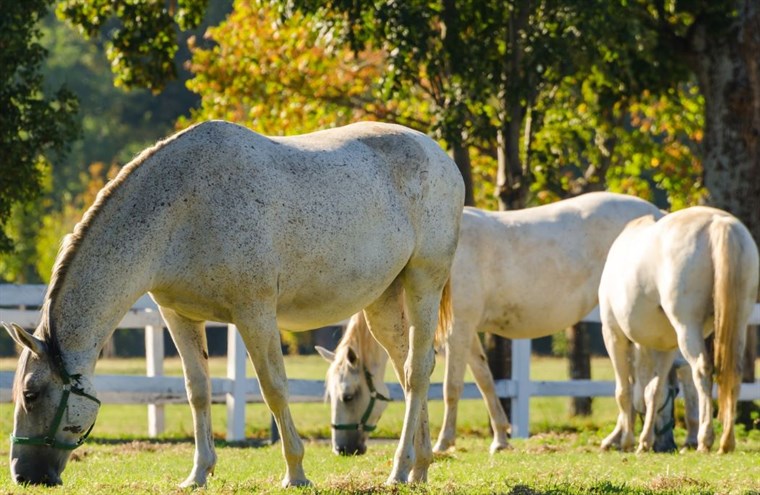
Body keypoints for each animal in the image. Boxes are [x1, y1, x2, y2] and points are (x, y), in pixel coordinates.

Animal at [2, 121, 464, 488]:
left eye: (30, 393)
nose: (24, 475)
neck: (181, 207)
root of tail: (441, 157)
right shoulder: (180, 316)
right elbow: (198, 391)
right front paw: (198, 474)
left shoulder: (254, 313)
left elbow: (274, 389)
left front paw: (295, 473)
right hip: (382, 302)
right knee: (406, 371)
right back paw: (418, 468)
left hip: (423, 282)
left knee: (418, 372)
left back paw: (399, 468)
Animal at [318, 192, 664, 456]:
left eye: (348, 395)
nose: (342, 449)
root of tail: (657, 214)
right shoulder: (468, 333)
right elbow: (485, 381)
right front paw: (500, 438)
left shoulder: (457, 330)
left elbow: (452, 387)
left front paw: (444, 442)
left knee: (640, 382)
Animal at [604, 205, 756, 454]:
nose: (666, 445)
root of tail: (719, 222)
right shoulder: (666, 346)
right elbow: (653, 392)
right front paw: (643, 441)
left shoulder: (614, 336)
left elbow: (625, 392)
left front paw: (626, 441)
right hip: (739, 322)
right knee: (734, 372)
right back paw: (726, 441)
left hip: (687, 328)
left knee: (702, 371)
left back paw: (705, 440)